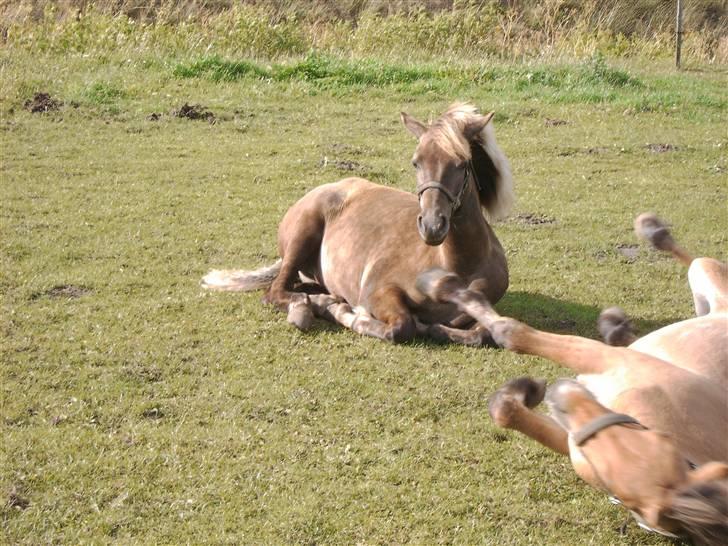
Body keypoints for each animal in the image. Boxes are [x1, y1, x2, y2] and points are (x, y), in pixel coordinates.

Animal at [202, 103, 516, 342]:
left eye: (462, 163)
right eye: (416, 162)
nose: (432, 226)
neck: (456, 264)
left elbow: (482, 333)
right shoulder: (379, 292)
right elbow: (401, 327)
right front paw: (345, 313)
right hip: (303, 234)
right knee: (276, 292)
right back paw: (313, 307)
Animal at [416, 214, 728, 544]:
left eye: (657, 440)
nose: (560, 392)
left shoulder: (602, 364)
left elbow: (510, 333)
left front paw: (443, 285)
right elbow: (506, 410)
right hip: (700, 286)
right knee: (695, 262)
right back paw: (648, 245)